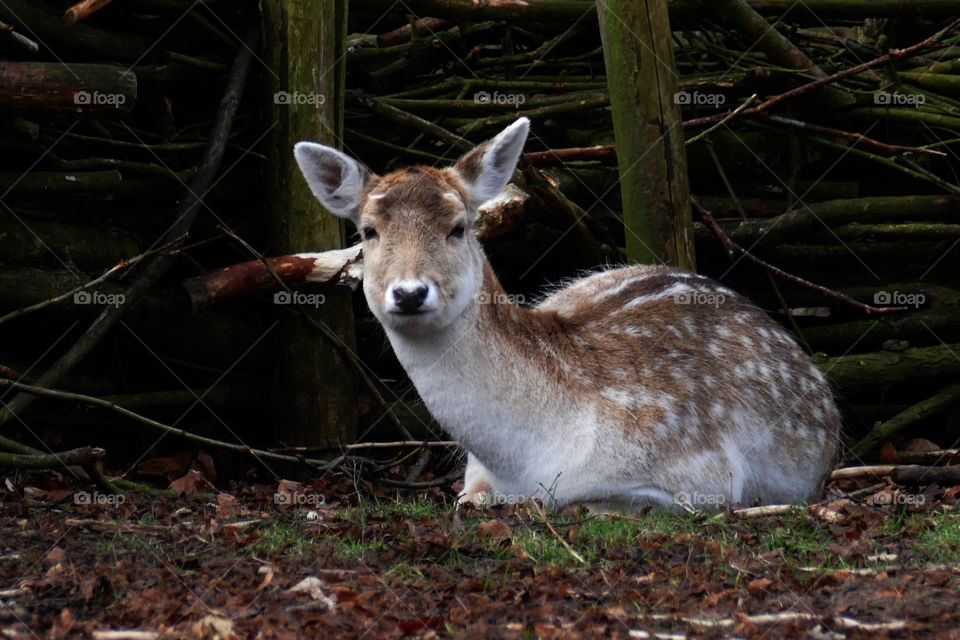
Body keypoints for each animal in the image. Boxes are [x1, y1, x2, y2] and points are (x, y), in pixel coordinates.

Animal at [293, 117, 840, 511]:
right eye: (367, 231)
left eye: (458, 226)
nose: (409, 293)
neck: (524, 458)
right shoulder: (474, 474)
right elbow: (472, 497)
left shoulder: (708, 477)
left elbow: (584, 502)